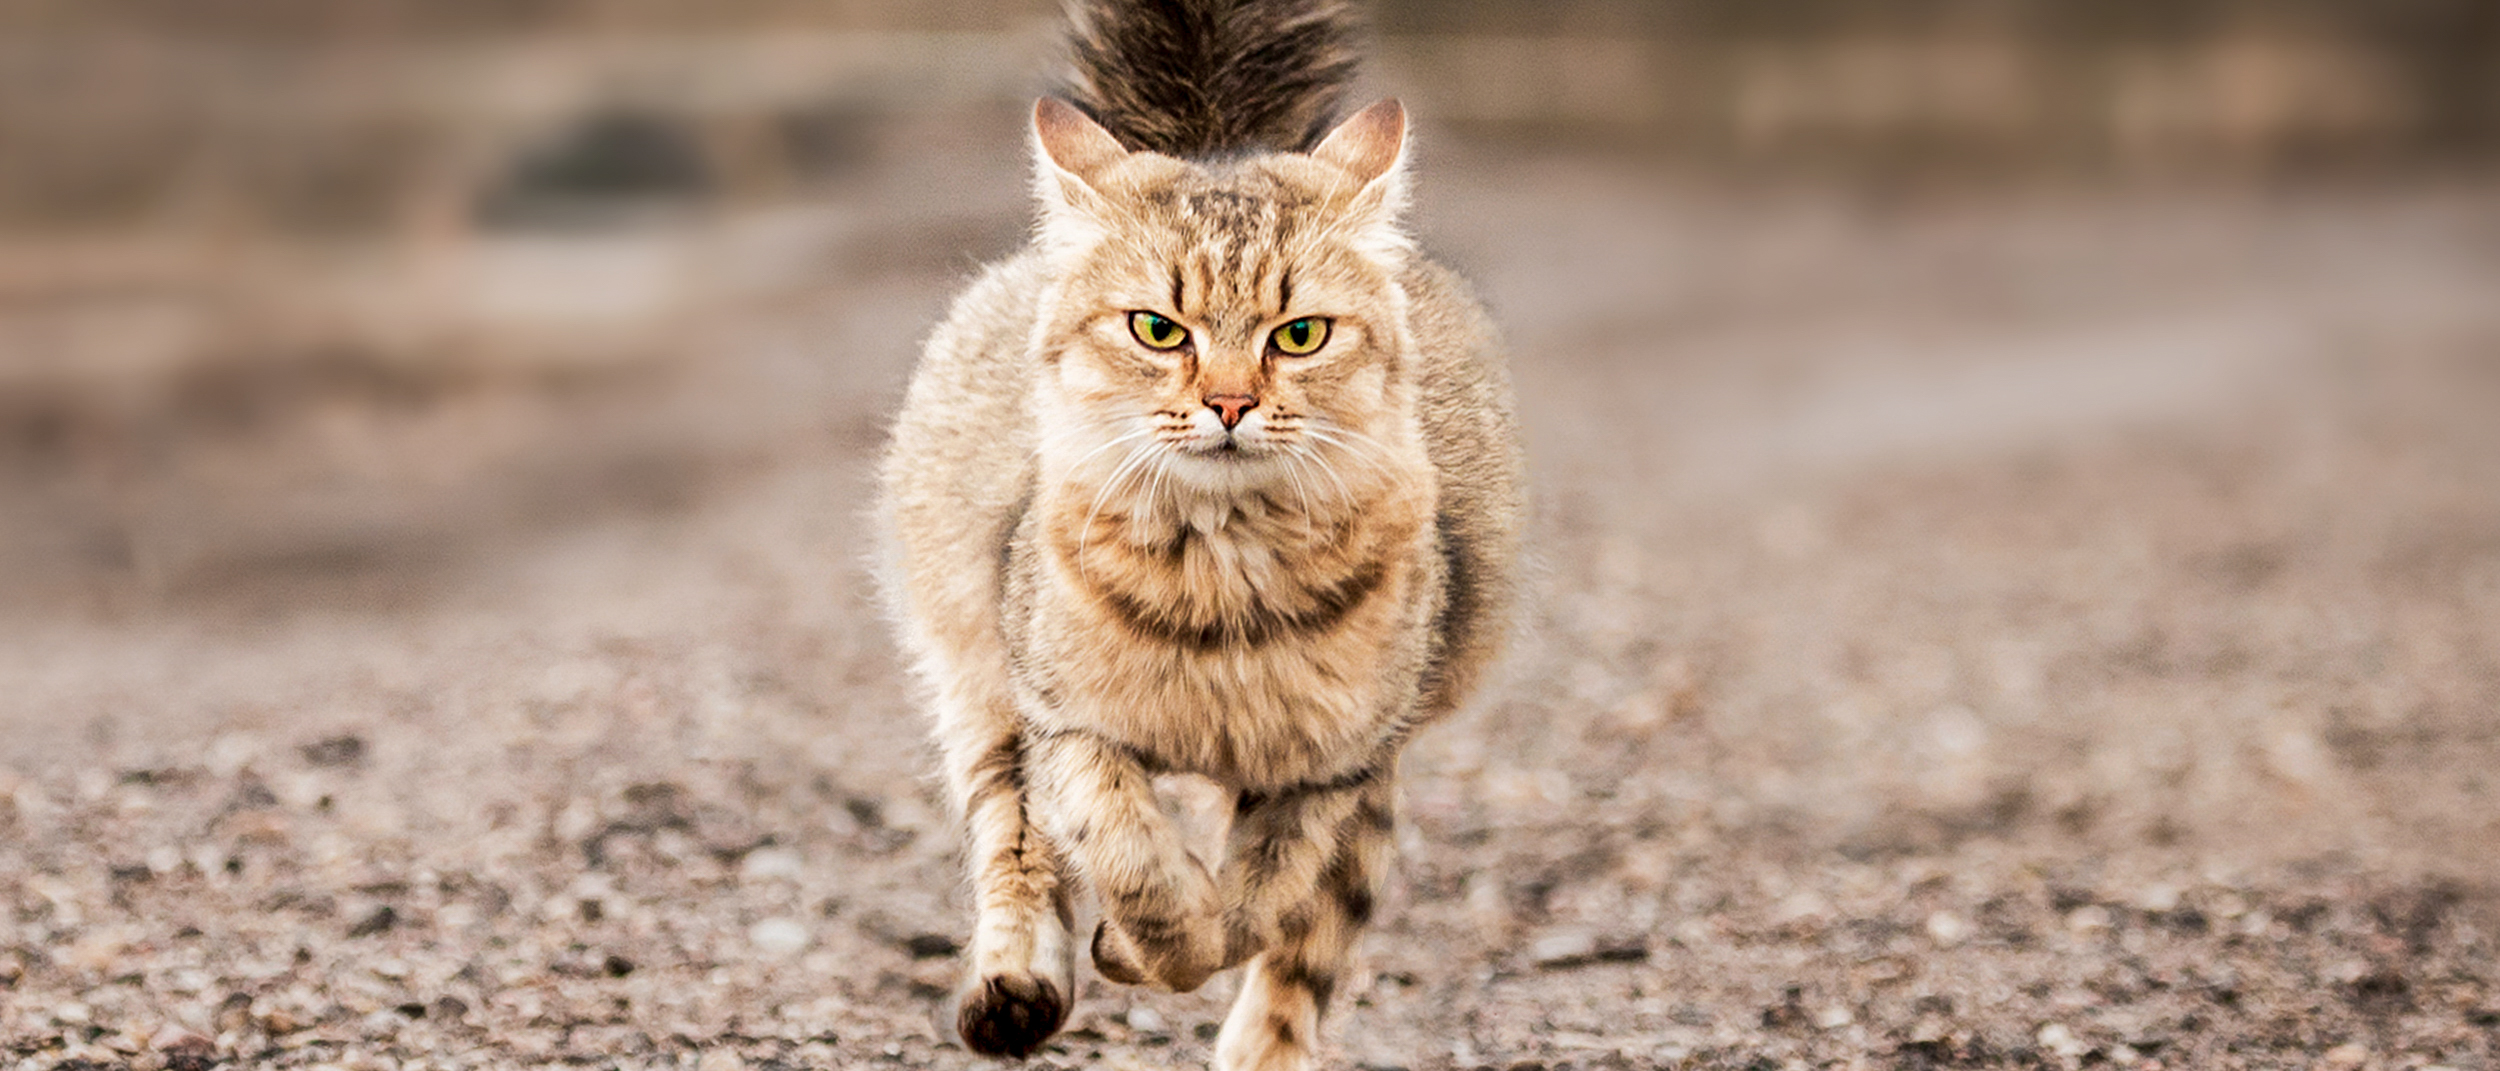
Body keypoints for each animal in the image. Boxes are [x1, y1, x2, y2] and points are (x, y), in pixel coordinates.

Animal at [880, 4, 1520, 1065]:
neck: (1223, 593)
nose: (1227, 402)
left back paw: (1264, 1045)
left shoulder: (1327, 769)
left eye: (1298, 335)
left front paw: (1158, 951)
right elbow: (1134, 858)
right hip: (978, 673)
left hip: (1387, 754)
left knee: (1314, 935)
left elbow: (1259, 905)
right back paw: (1015, 992)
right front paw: (1141, 937)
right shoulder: (1067, 722)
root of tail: (1208, 136)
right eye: (1157, 329)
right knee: (1010, 835)